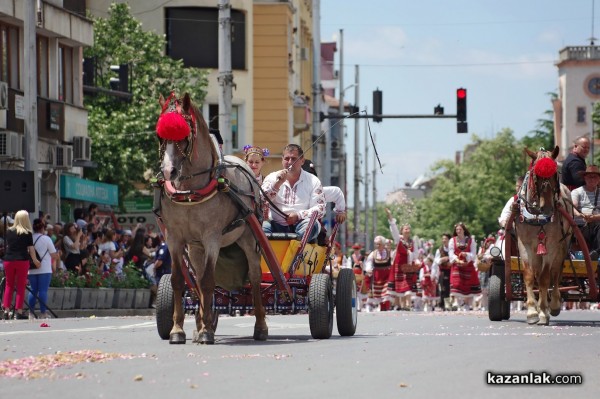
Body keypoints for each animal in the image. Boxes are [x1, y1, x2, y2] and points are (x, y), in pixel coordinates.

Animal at [155, 91, 268, 344]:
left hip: (247, 238)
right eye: (160, 136)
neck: (190, 192)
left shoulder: (212, 238)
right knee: (197, 278)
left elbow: (208, 281)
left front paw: (206, 331)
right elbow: (180, 280)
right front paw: (179, 330)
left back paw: (260, 326)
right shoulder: (175, 238)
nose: (168, 171)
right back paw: (200, 323)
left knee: (255, 277)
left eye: (184, 134)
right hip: (196, 248)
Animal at [512, 146, 576, 324]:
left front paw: (542, 311)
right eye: (536, 175)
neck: (536, 216)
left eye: (555, 174)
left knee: (555, 273)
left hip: (562, 245)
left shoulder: (552, 245)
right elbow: (529, 275)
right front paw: (532, 311)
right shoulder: (524, 244)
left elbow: (545, 277)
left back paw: (552, 305)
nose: (547, 208)